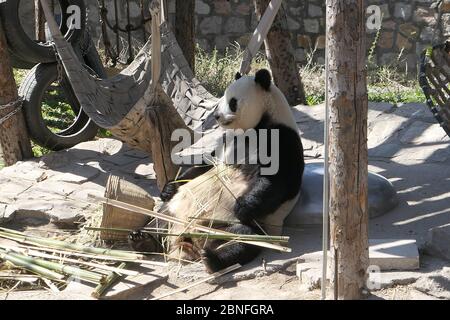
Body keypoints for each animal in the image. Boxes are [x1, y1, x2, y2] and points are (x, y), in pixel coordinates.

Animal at [130, 69, 306, 272]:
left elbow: (279, 181)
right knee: (158, 220)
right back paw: (142, 239)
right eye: (222, 98)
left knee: (245, 239)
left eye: (232, 102)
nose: (216, 116)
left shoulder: (283, 139)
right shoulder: (227, 142)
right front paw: (169, 188)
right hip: (173, 211)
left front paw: (242, 206)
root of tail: (189, 241)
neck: (258, 125)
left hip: (231, 225)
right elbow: (205, 164)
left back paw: (212, 258)